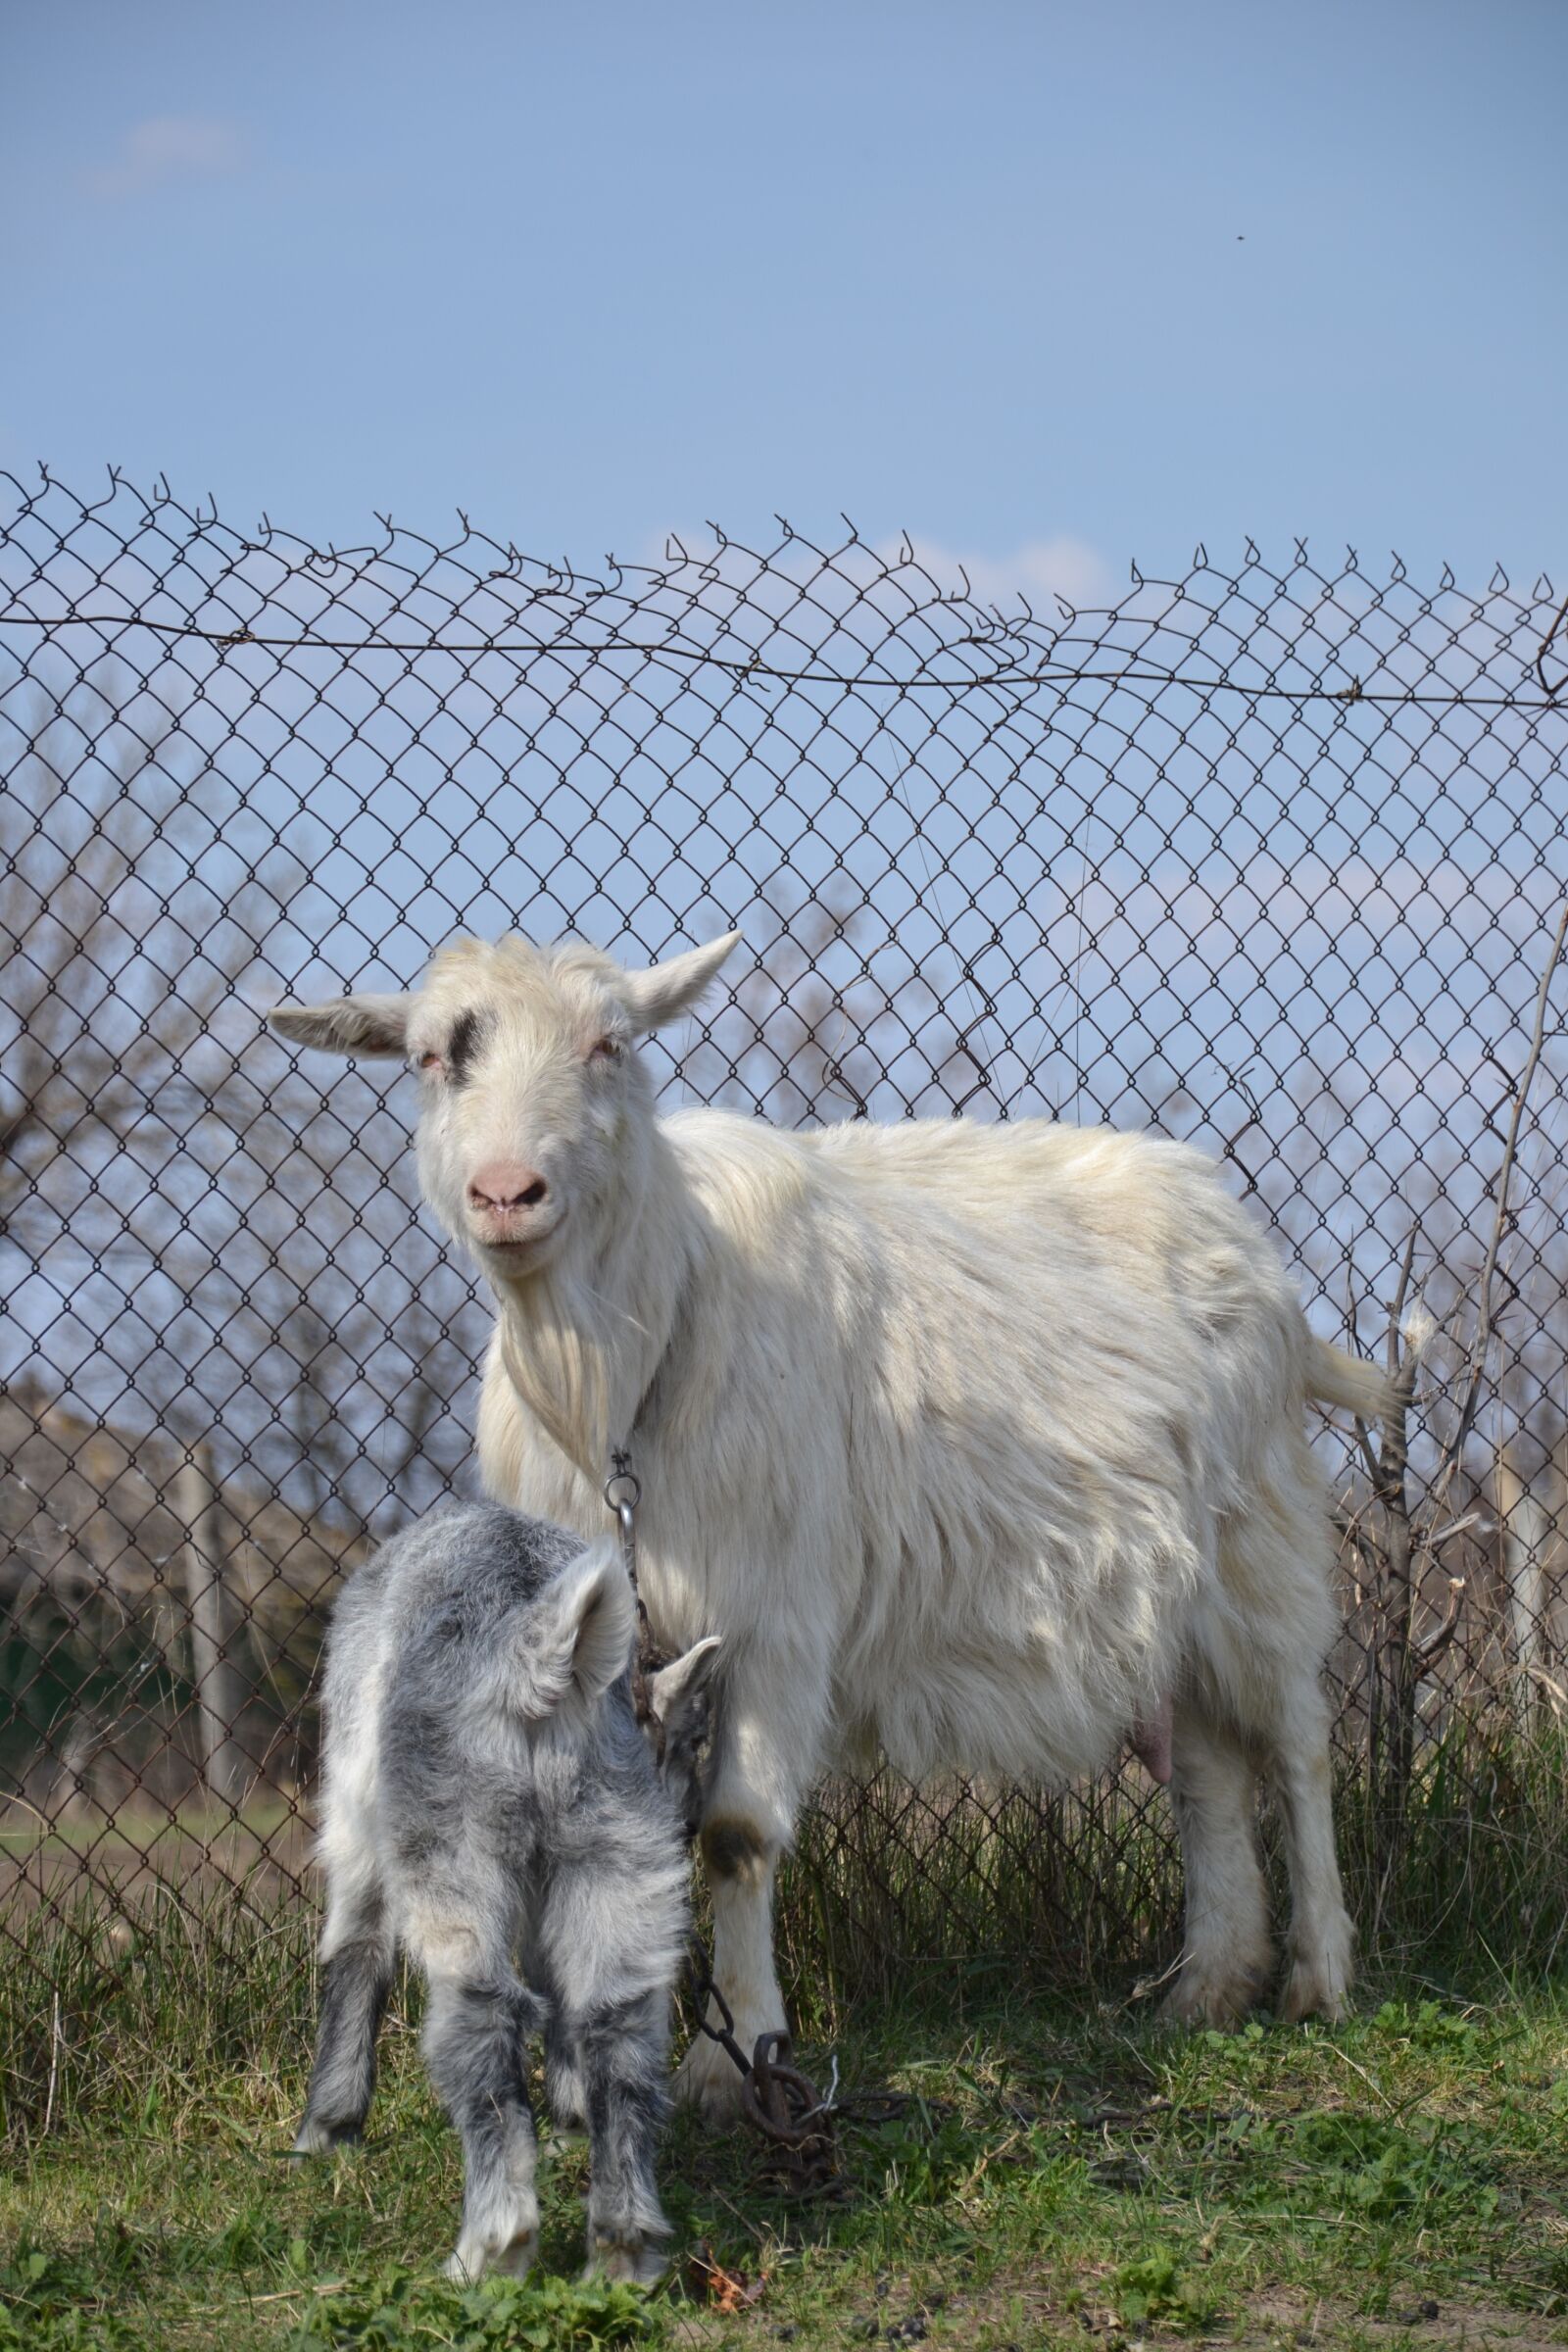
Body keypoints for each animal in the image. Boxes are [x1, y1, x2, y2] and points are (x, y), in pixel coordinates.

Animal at [272, 931, 1392, 2117]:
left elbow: (733, 1836)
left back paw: (1319, 1976)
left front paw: (734, 2058)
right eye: (433, 1059)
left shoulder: (776, 1613)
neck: (630, 1367)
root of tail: (1250, 1249)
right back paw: (1210, 1988)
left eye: (609, 1044)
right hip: (1169, 1588)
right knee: (1208, 1767)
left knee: (1297, 1742)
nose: (505, 1192)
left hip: (1257, 1540)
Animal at [292, 1499, 718, 2284]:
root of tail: (540, 1655)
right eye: (690, 1741)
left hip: (451, 1852)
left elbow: (358, 1951)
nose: (694, 1820)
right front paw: (570, 2123)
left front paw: (327, 2132)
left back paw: (494, 2245)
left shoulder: (359, 1816)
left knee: (480, 2012)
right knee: (616, 2023)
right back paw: (621, 2245)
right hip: (612, 1850)